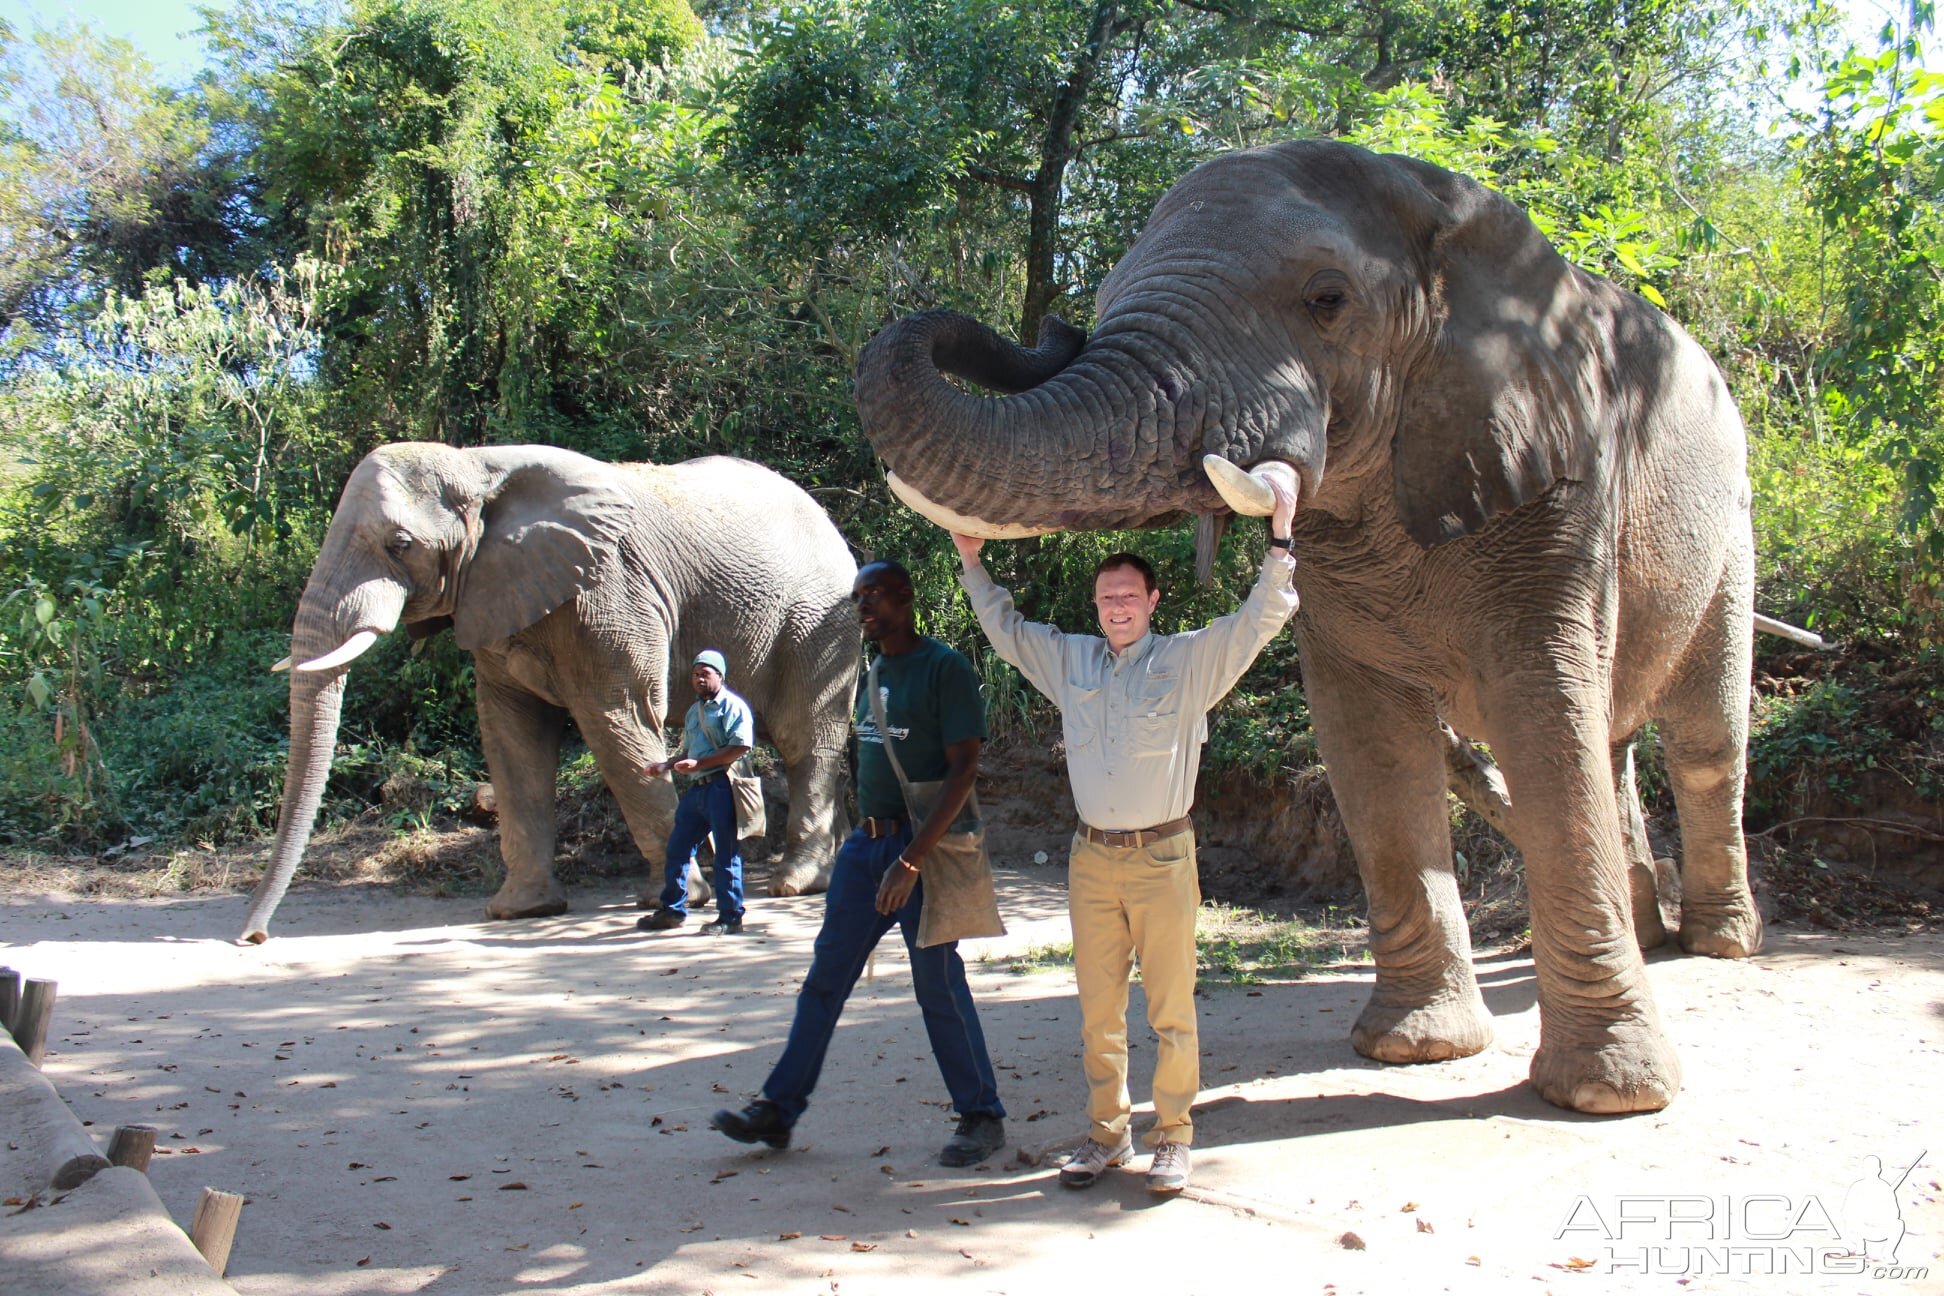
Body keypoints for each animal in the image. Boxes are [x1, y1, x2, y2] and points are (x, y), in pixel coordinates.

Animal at [237, 446, 859, 944]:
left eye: (400, 544)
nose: (253, 938)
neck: (475, 464)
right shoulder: (497, 603)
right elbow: (512, 737)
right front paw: (520, 911)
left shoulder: (609, 593)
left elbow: (617, 725)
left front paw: (675, 901)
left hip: (817, 623)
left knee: (804, 739)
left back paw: (794, 884)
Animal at [859, 139, 1772, 1119]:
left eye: (1327, 300)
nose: (1056, 328)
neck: (1448, 213)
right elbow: (1370, 743)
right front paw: (1414, 1048)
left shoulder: (1564, 482)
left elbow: (1543, 720)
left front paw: (1608, 1096)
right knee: (1613, 744)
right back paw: (1648, 931)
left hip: (1731, 527)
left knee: (1704, 735)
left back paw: (1720, 944)